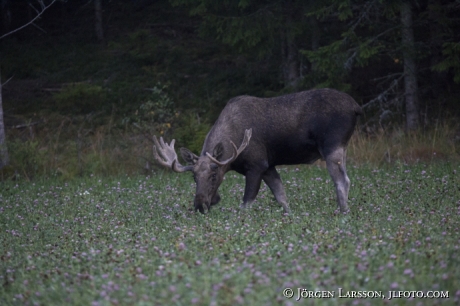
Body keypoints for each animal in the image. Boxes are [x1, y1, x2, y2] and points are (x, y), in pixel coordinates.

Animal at [153, 88, 362, 213]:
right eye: (193, 177)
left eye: (213, 176)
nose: (199, 205)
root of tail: (356, 106)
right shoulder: (269, 167)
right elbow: (281, 197)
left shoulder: (256, 166)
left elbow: (246, 203)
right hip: (342, 148)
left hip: (332, 146)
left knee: (342, 181)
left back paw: (343, 212)